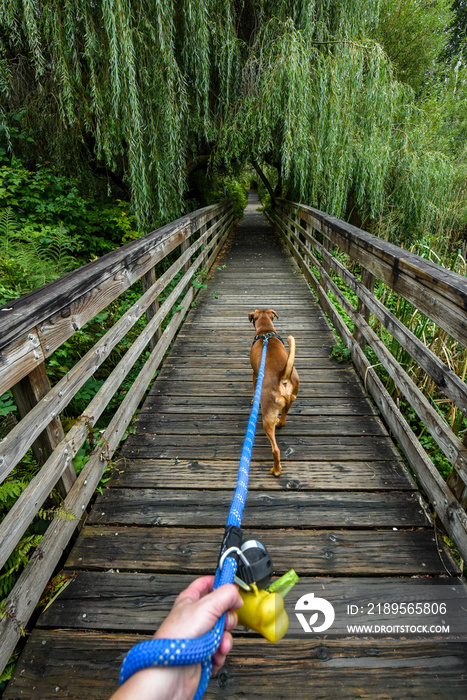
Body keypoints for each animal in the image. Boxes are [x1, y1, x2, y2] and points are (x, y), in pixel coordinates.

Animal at [249, 310, 300, 476]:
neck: (265, 332)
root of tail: (282, 376)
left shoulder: (254, 373)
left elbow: (254, 388)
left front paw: (253, 400)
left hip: (267, 416)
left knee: (275, 450)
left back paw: (276, 470)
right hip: (290, 400)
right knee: (283, 420)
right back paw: (279, 422)